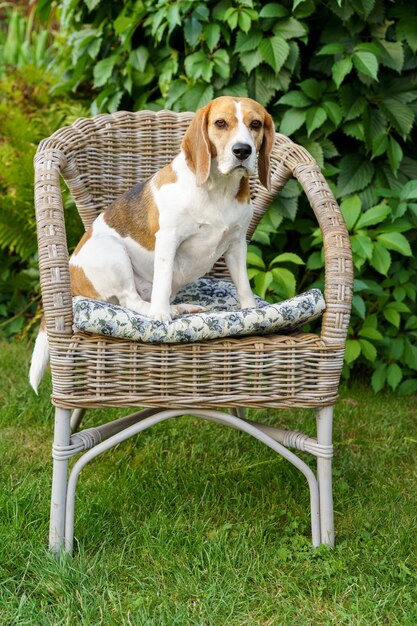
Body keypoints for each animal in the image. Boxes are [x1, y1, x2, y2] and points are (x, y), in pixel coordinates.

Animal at [30, 95, 276, 390]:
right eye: (220, 123)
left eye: (255, 124)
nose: (242, 151)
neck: (217, 189)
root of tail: (71, 277)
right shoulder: (168, 239)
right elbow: (162, 281)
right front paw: (160, 317)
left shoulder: (237, 243)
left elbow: (243, 285)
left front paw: (251, 311)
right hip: (112, 252)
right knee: (131, 301)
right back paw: (165, 310)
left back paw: (181, 307)